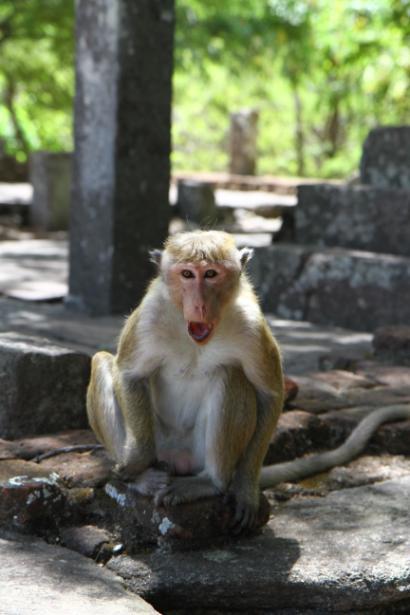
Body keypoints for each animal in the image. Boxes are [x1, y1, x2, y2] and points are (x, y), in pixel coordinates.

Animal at [85, 231, 410, 536]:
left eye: (211, 274)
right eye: (187, 274)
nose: (199, 305)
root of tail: (180, 462)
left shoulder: (252, 326)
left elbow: (269, 394)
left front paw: (244, 489)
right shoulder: (148, 317)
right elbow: (130, 374)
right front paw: (137, 462)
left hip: (204, 454)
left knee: (230, 376)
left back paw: (211, 482)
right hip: (162, 447)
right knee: (101, 363)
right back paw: (144, 479)